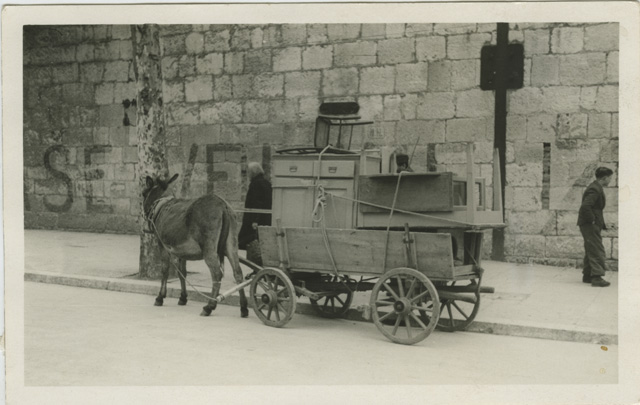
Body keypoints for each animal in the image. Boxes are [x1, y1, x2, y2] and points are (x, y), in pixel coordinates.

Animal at [142, 174, 249, 318]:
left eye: (143, 194)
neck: (161, 204)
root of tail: (222, 206)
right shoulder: (182, 252)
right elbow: (182, 273)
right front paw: (183, 298)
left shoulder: (162, 246)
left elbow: (164, 270)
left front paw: (160, 297)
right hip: (231, 245)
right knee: (238, 273)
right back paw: (243, 308)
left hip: (209, 249)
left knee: (216, 274)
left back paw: (209, 306)